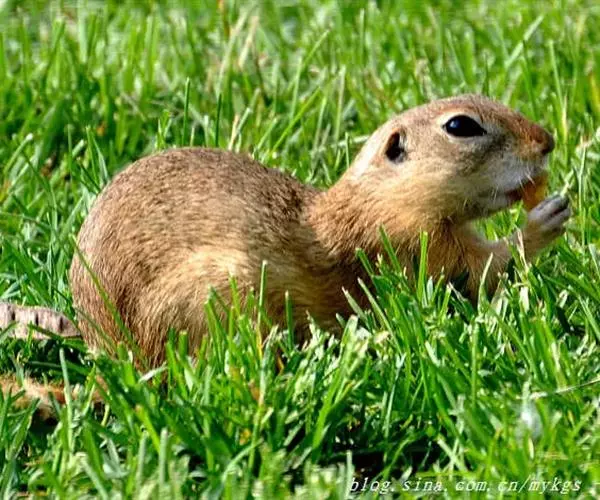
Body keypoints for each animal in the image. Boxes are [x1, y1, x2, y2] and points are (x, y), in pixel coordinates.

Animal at [0, 94, 570, 409]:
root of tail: (119, 360)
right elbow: (481, 271)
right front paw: (544, 219)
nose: (547, 141)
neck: (375, 199)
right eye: (461, 126)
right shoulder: (416, 243)